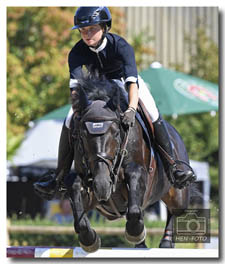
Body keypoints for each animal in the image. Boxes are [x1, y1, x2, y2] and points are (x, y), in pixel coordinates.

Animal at [67, 76, 193, 252]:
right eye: (83, 135)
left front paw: (135, 233)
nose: (102, 185)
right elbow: (75, 191)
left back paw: (166, 242)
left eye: (116, 133)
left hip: (178, 195)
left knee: (174, 210)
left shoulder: (137, 173)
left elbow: (133, 208)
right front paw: (89, 240)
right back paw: (141, 245)